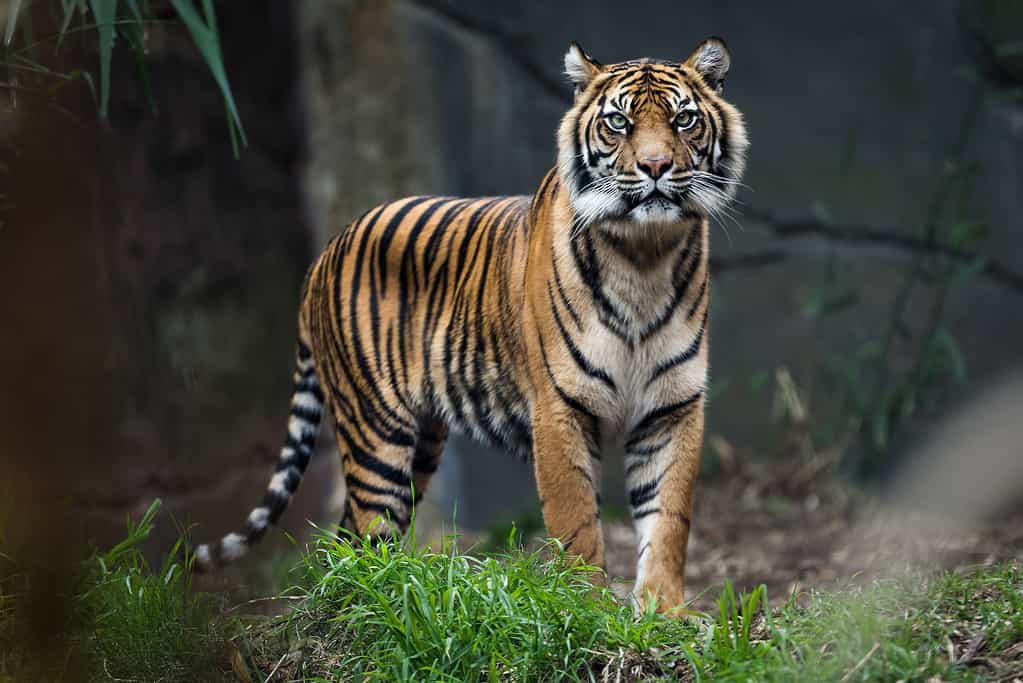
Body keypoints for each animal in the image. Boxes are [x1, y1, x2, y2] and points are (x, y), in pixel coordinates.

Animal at [195, 37, 748, 613]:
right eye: (618, 122)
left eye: (684, 119)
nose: (656, 165)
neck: (644, 255)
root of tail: (324, 253)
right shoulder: (559, 408)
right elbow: (577, 523)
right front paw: (587, 609)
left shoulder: (672, 407)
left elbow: (669, 519)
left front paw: (664, 612)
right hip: (376, 432)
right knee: (367, 527)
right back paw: (377, 602)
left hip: (422, 441)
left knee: (349, 535)